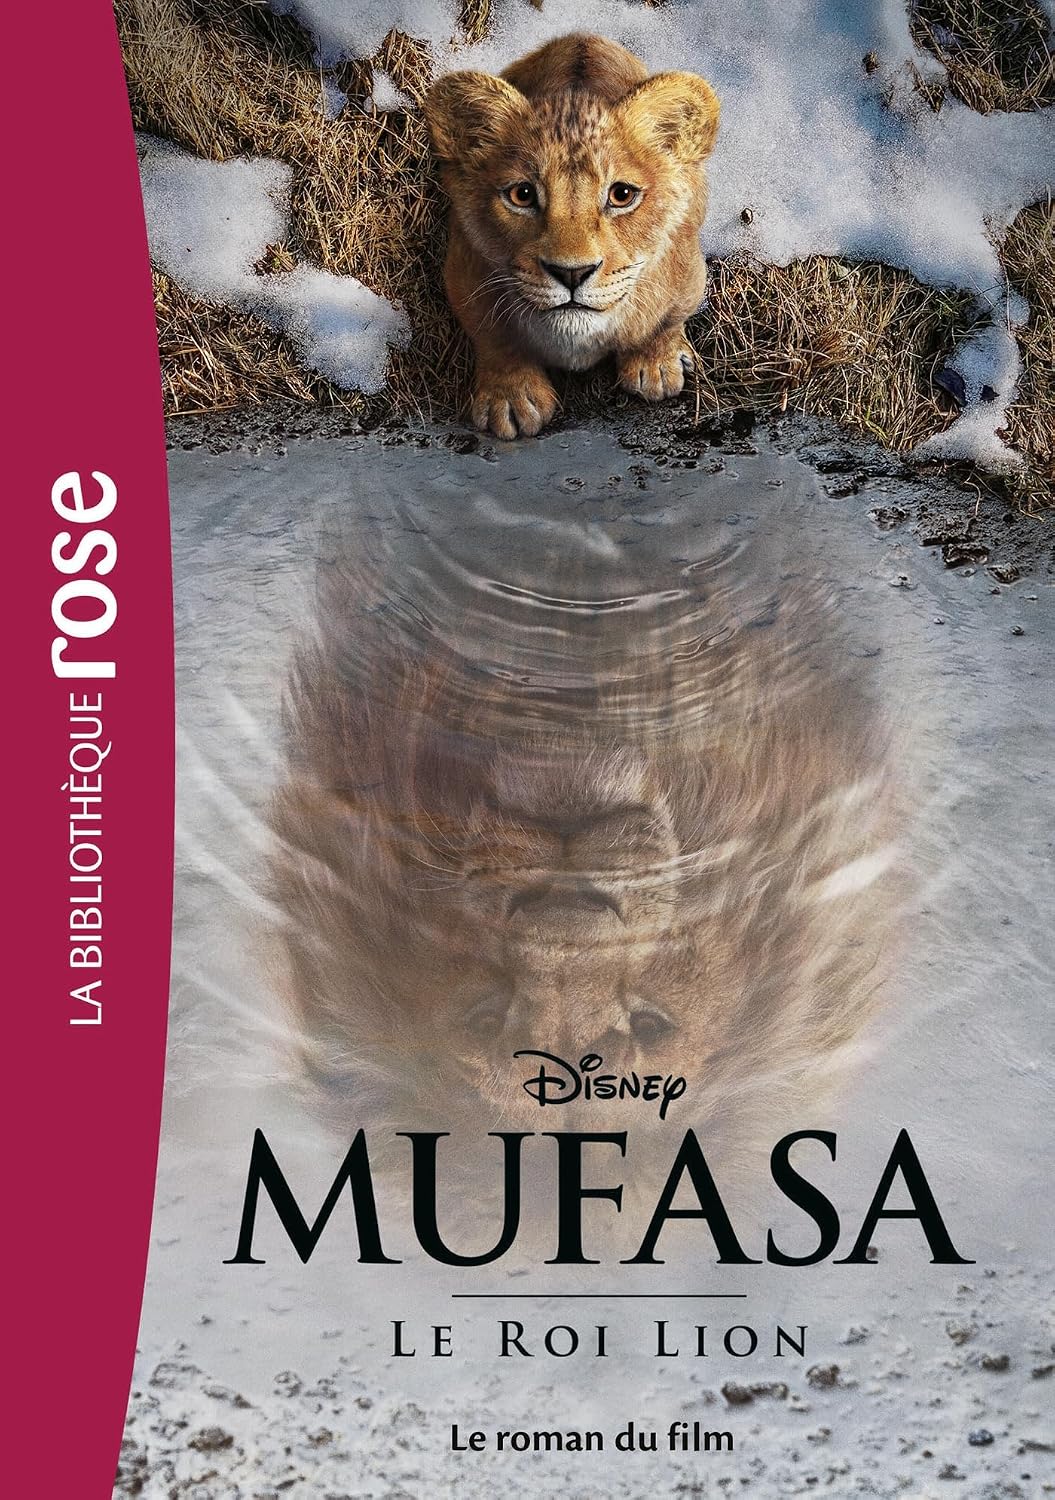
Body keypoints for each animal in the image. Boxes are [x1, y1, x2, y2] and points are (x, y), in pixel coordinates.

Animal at [425, 33, 720, 439]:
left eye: (622, 195)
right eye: (522, 195)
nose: (571, 273)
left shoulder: (688, 272)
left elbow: (665, 321)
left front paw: (656, 366)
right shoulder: (463, 271)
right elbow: (494, 336)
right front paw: (511, 398)